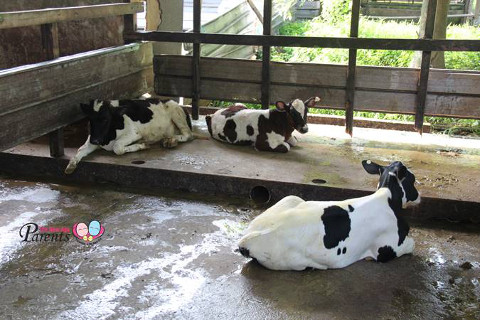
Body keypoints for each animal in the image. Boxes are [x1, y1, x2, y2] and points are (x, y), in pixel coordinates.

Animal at [64, 97, 194, 174]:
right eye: (90, 119)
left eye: (105, 119)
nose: (95, 141)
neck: (108, 138)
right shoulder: (92, 139)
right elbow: (80, 150)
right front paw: (71, 165)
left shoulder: (134, 133)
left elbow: (117, 147)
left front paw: (141, 145)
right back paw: (170, 141)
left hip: (176, 113)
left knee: (188, 134)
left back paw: (169, 140)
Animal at [238, 160, 422, 270]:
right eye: (412, 179)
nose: (420, 196)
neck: (388, 198)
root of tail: (246, 239)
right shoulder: (387, 249)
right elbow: (412, 244)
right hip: (294, 262)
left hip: (291, 197)